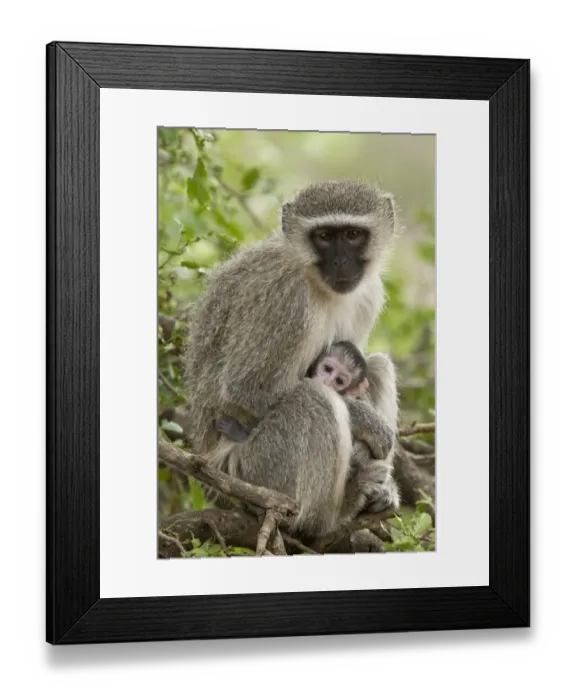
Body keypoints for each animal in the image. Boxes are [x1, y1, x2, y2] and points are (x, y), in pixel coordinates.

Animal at [183, 179, 401, 540]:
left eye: (353, 234)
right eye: (324, 236)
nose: (341, 262)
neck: (316, 283)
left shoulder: (368, 296)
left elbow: (359, 366)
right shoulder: (287, 300)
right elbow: (246, 389)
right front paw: (368, 424)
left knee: (379, 366)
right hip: (253, 470)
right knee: (313, 399)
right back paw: (329, 516)